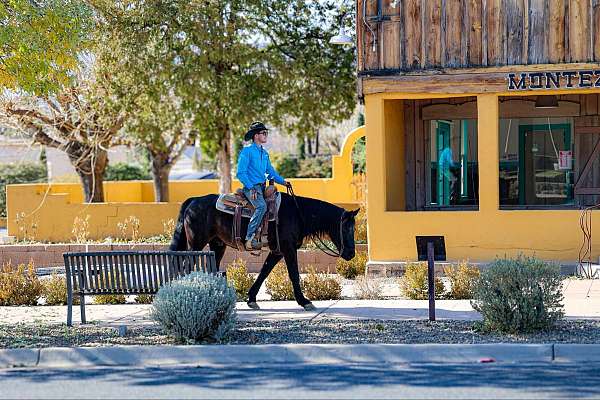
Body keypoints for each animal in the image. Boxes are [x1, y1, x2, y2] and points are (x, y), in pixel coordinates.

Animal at [169, 192, 358, 310]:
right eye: (347, 228)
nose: (351, 254)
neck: (298, 213)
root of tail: (193, 201)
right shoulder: (288, 249)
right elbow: (294, 274)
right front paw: (304, 301)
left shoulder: (277, 251)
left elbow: (264, 272)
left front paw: (252, 299)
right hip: (195, 245)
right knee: (185, 266)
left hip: (217, 245)